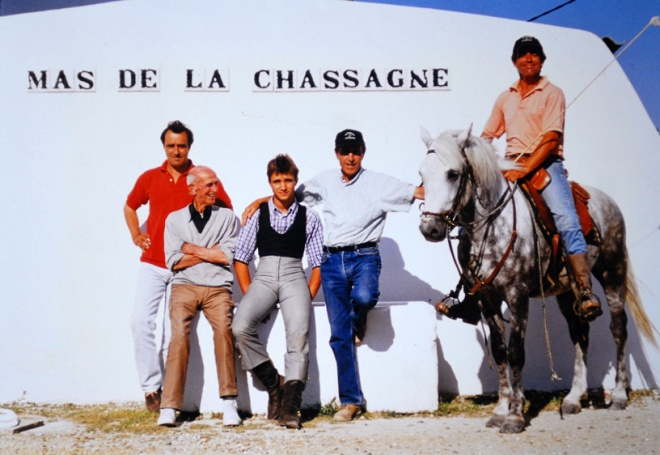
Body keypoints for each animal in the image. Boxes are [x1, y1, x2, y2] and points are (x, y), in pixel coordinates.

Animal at [420, 127, 652, 434]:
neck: (493, 226)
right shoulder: (487, 299)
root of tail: (606, 200)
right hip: (568, 291)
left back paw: (618, 395)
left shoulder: (517, 295)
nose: (429, 229)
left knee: (618, 328)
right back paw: (573, 398)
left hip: (612, 271)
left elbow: (517, 352)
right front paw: (500, 410)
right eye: (422, 174)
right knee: (580, 332)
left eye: (453, 174)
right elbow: (500, 351)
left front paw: (516, 416)